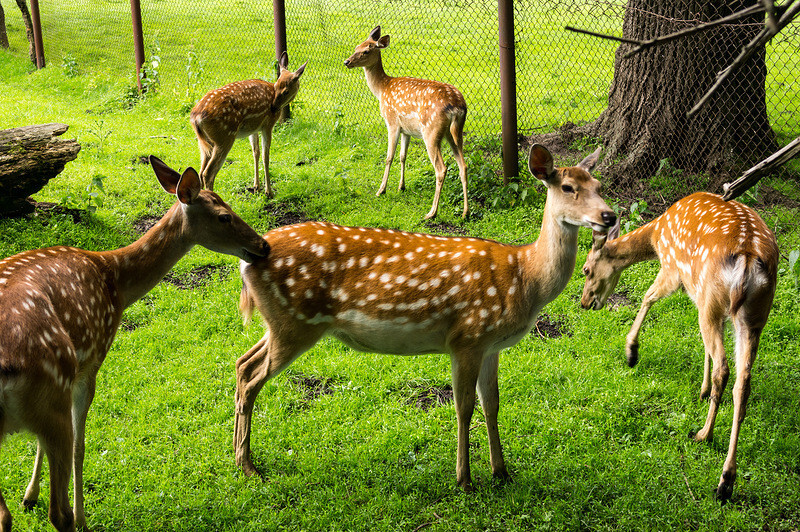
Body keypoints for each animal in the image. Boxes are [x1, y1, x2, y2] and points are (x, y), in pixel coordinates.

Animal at [0, 157, 270, 532]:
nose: (263, 245)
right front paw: (82, 516)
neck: (115, 279)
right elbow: (82, 445)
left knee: (4, 513)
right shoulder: (90, 360)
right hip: (51, 382)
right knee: (57, 512)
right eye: (223, 216)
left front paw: (29, 495)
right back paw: (74, 518)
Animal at [191, 51, 310, 195]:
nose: (273, 107)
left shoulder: (253, 129)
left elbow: (256, 152)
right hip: (224, 137)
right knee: (208, 173)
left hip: (204, 141)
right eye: (276, 87)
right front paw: (269, 191)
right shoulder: (268, 125)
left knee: (200, 171)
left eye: (285, 91)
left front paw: (256, 186)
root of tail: (196, 117)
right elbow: (265, 155)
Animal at [233, 143, 620, 492]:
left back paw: (240, 459)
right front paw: (464, 479)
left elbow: (492, 404)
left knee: (242, 363)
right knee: (252, 377)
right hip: (296, 323)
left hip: (279, 323)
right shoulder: (466, 337)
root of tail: (246, 260)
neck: (525, 278)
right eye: (567, 187)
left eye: (599, 185)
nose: (609, 216)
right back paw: (248, 466)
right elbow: (464, 407)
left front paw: (502, 471)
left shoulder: (492, 346)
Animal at [344, 24, 468, 220]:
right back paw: (465, 212)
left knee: (441, 168)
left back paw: (431, 213)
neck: (382, 89)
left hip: (431, 131)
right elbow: (403, 156)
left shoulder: (392, 122)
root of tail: (458, 106)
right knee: (463, 165)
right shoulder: (406, 130)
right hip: (454, 132)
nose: (347, 62)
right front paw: (401, 186)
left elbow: (389, 157)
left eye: (366, 51)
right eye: (356, 47)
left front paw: (381, 190)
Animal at [580, 192, 780, 502]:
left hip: (714, 297)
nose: (585, 302)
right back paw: (727, 478)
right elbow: (703, 345)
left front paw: (631, 351)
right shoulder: (695, 291)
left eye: (586, 269)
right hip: (754, 314)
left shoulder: (674, 269)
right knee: (743, 380)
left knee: (724, 368)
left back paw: (705, 437)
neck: (657, 235)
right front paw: (702, 390)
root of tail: (748, 259)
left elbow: (647, 297)